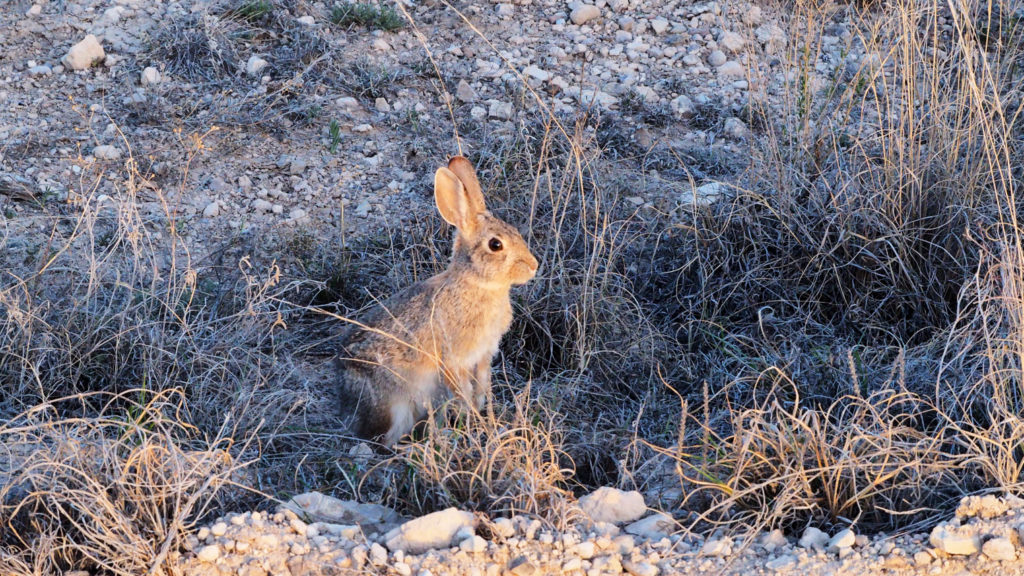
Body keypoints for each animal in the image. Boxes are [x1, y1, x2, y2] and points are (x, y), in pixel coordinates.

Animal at [337, 153, 544, 444]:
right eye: (496, 245)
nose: (533, 266)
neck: (479, 285)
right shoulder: (453, 359)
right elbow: (462, 390)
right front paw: (473, 417)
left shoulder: (484, 355)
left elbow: (482, 385)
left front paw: (481, 412)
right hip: (391, 407)